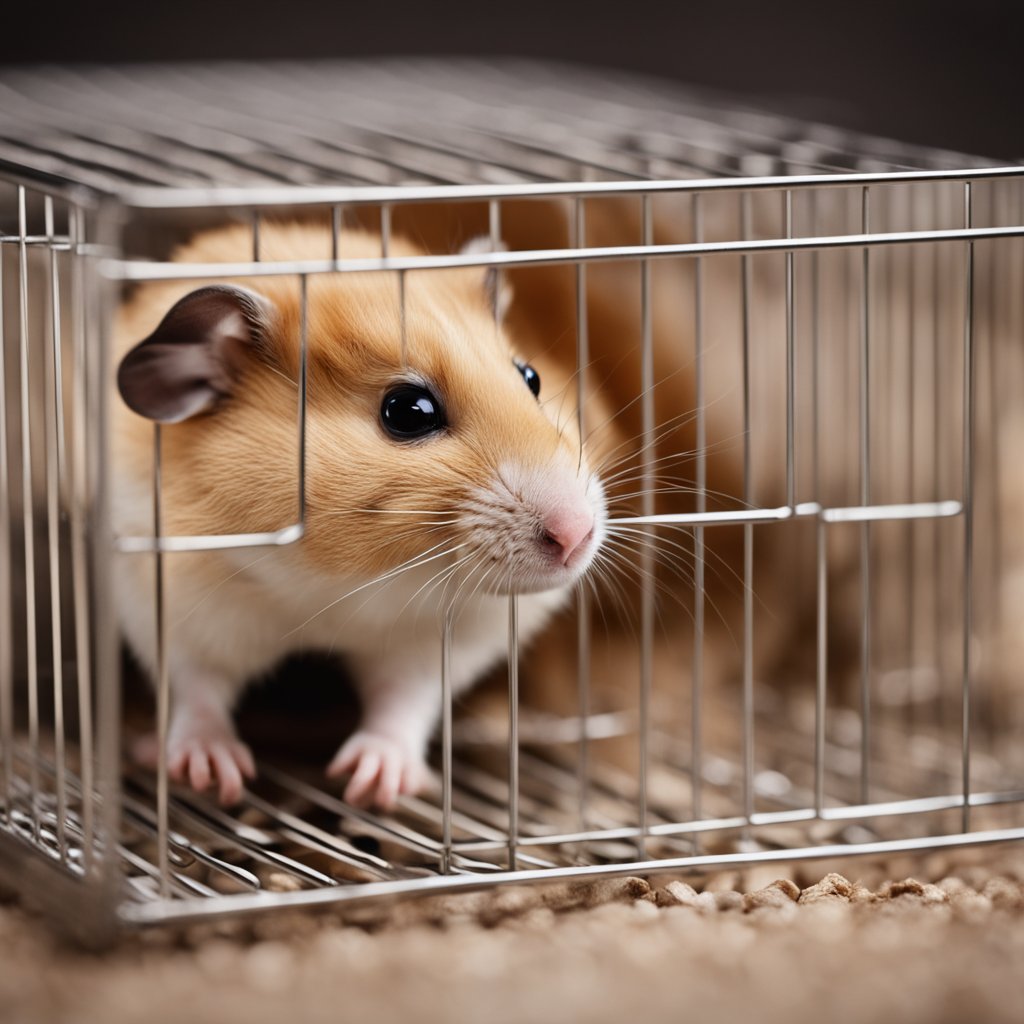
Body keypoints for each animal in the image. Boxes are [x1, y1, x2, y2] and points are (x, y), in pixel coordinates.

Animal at [113, 221, 607, 808]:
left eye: (530, 378)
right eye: (407, 411)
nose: (576, 535)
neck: (333, 581)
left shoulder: (434, 644)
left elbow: (403, 702)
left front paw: (370, 784)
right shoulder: (174, 609)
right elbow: (197, 690)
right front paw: (213, 776)